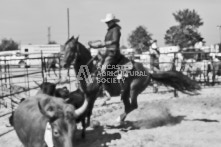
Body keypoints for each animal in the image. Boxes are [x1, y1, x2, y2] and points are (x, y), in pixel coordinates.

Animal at [61, 35, 200, 124]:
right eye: (63, 48)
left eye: (71, 48)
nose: (63, 64)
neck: (90, 70)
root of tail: (148, 73)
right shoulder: (86, 94)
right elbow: (87, 109)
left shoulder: (93, 94)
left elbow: (89, 109)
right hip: (126, 92)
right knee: (129, 106)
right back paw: (121, 120)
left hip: (134, 89)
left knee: (133, 106)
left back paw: (118, 120)